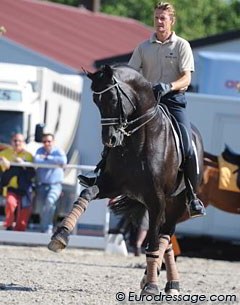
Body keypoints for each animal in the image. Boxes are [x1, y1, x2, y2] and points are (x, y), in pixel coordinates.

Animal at [49, 64, 204, 294]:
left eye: (113, 99)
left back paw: (170, 283)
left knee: (165, 235)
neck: (139, 141)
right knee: (165, 239)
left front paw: (151, 285)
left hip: (177, 203)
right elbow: (86, 194)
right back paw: (164, 280)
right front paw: (61, 235)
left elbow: (152, 243)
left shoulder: (156, 199)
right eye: (96, 101)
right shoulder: (112, 185)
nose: (110, 139)